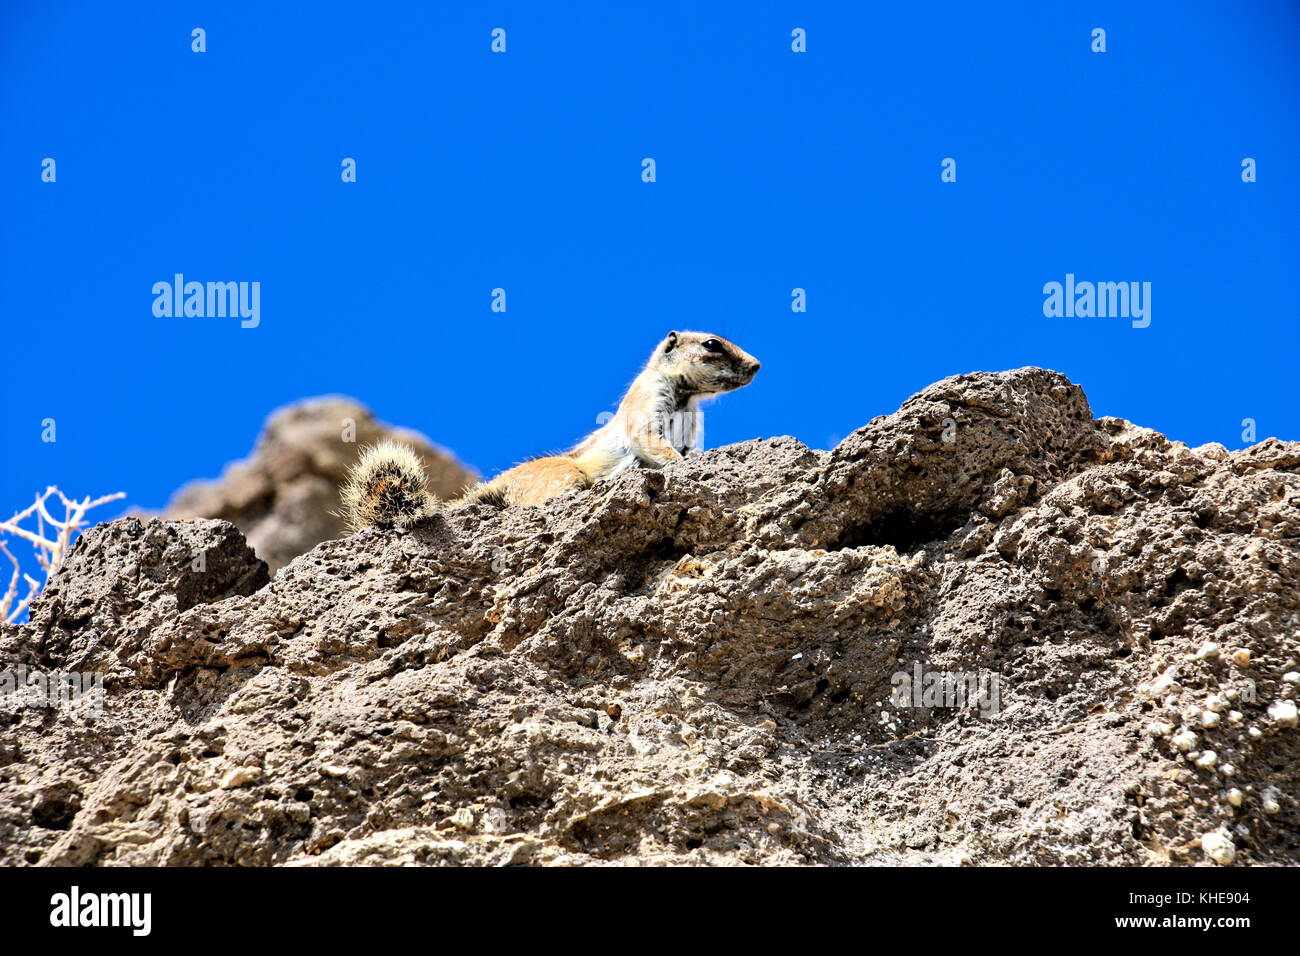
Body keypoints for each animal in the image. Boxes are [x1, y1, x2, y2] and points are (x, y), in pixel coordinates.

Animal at [338, 330, 760, 531]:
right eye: (712, 343)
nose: (757, 365)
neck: (686, 396)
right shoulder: (647, 401)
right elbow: (651, 443)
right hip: (564, 476)